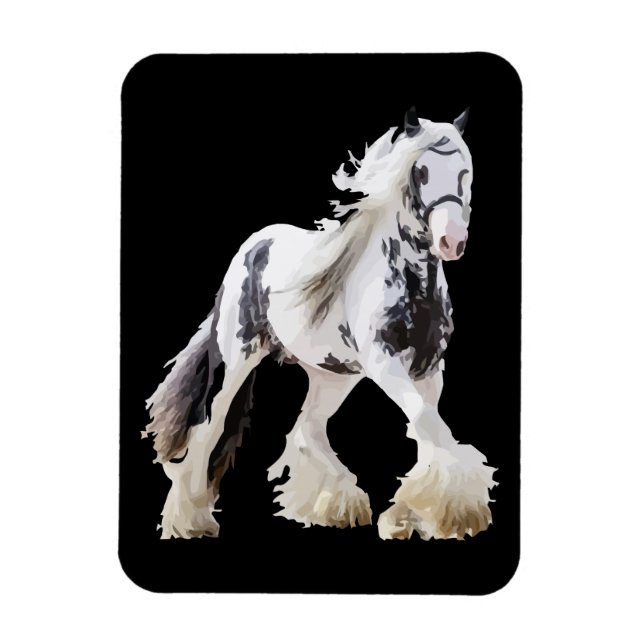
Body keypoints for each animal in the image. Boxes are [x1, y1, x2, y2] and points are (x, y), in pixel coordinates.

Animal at [143, 106, 497, 540]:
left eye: (465, 171)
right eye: (421, 172)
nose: (452, 241)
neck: (412, 281)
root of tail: (253, 245)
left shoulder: (429, 369)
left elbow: (428, 429)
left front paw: (410, 517)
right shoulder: (385, 363)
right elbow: (427, 423)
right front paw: (450, 512)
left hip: (333, 375)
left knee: (305, 430)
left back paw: (332, 508)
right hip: (239, 358)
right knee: (210, 428)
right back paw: (190, 521)